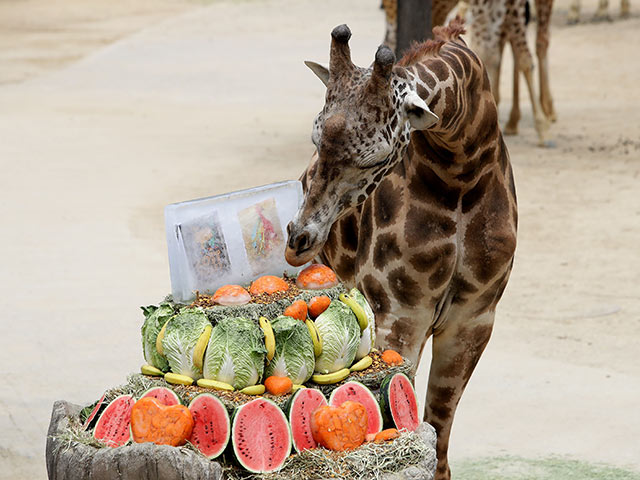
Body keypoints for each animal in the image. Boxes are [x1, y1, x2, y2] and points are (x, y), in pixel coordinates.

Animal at [288, 20, 516, 478]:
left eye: (373, 158)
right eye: (315, 138)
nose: (299, 238)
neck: (462, 168)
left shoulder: (474, 318)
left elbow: (437, 427)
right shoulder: (399, 311)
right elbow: (400, 404)